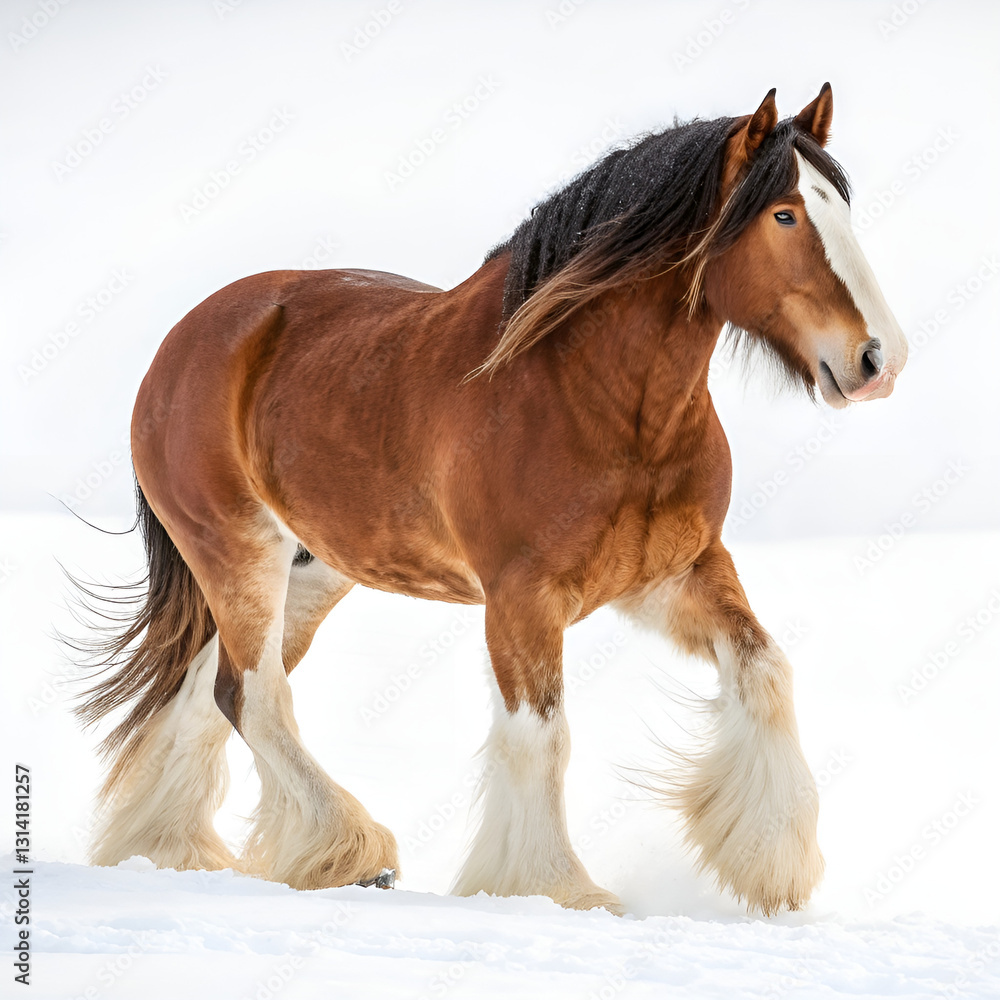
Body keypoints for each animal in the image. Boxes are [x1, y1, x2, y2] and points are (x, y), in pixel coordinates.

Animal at [73, 84, 907, 917]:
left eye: (840, 205)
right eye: (786, 215)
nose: (879, 359)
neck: (599, 396)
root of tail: (185, 340)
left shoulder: (674, 576)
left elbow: (766, 670)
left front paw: (773, 866)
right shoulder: (521, 598)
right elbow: (542, 737)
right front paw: (554, 887)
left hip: (311, 574)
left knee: (204, 693)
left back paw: (172, 847)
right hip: (239, 551)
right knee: (252, 696)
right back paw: (350, 851)